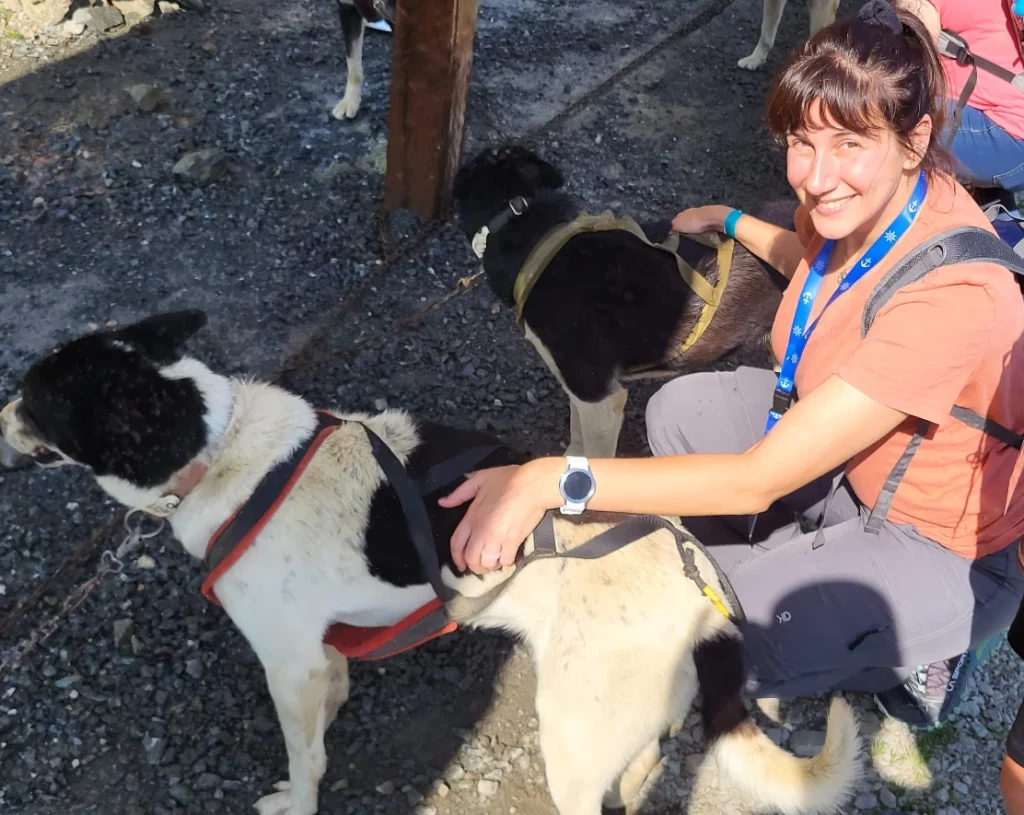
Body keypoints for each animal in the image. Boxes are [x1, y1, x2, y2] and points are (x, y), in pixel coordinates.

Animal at [4, 311, 860, 815]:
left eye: (36, 401)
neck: (224, 451)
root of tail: (699, 580)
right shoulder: (315, 650)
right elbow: (328, 698)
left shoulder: (285, 657)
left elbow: (305, 759)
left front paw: (298, 796)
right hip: (625, 716)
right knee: (646, 759)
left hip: (570, 735)